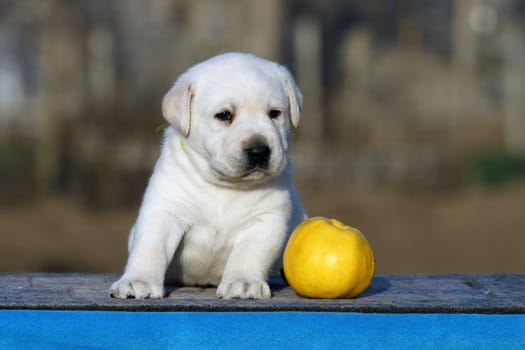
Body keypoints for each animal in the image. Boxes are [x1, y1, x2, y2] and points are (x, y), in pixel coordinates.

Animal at [110, 53, 308, 300]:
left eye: (275, 114)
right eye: (224, 115)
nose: (259, 151)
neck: (224, 186)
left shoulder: (266, 220)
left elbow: (249, 253)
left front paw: (243, 282)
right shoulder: (165, 211)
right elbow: (150, 248)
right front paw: (139, 281)